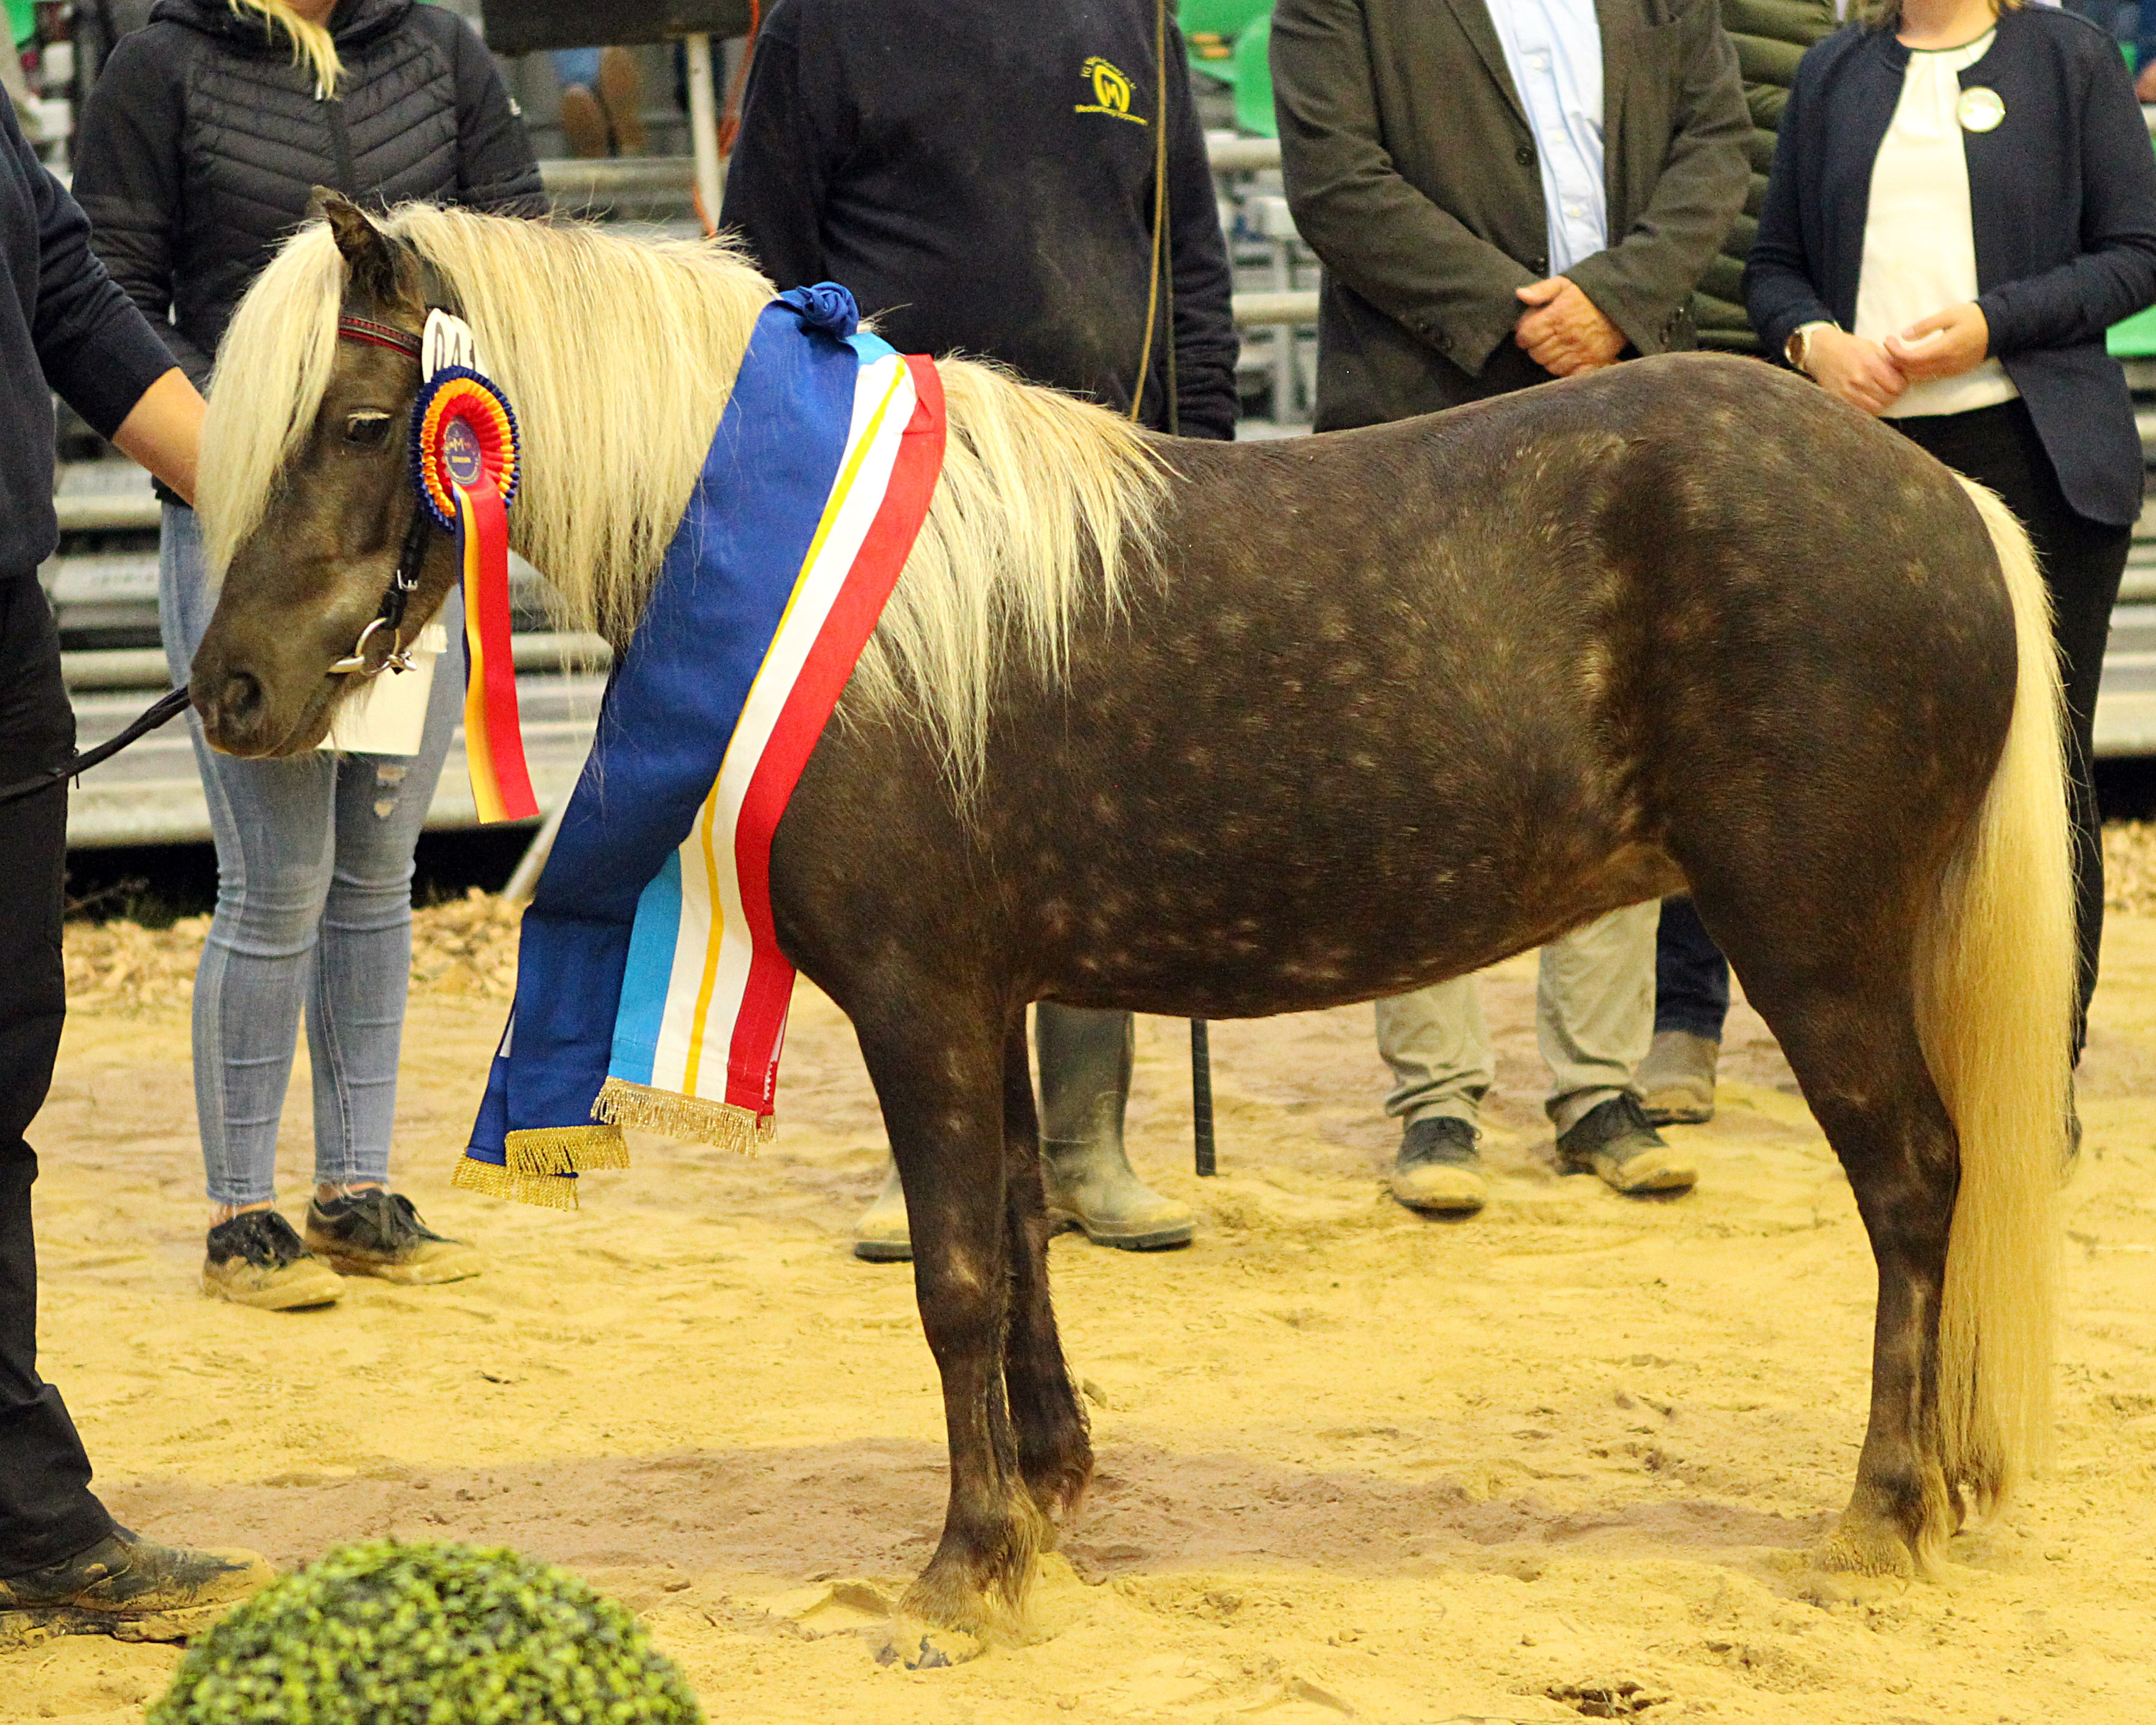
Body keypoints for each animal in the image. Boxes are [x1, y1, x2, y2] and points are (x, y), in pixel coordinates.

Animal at [194, 195, 2078, 1639]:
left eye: (357, 426)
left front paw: (968, 1569)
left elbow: (955, 1270)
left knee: (1915, 1187)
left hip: (1813, 946)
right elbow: (1023, 1231)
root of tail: (1939, 500)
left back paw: (1881, 1509)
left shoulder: (918, 999)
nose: (232, 691)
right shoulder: (992, 997)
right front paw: (1048, 1490)